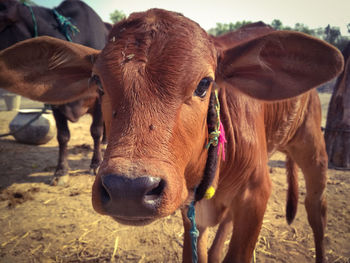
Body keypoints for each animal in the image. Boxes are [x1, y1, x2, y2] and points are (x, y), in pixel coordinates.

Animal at [0, 8, 344, 263]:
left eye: (204, 84)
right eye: (97, 82)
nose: (128, 189)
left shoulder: (256, 193)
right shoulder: (189, 210)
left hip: (312, 146)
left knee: (318, 209)